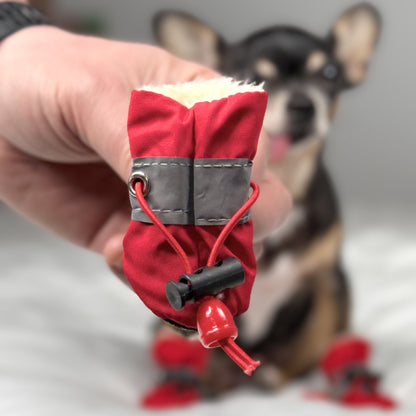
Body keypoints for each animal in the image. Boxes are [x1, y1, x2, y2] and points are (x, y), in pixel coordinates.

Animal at [152, 3, 380, 392]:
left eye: (330, 73)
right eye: (249, 78)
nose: (304, 104)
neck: (284, 177)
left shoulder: (329, 282)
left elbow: (330, 335)